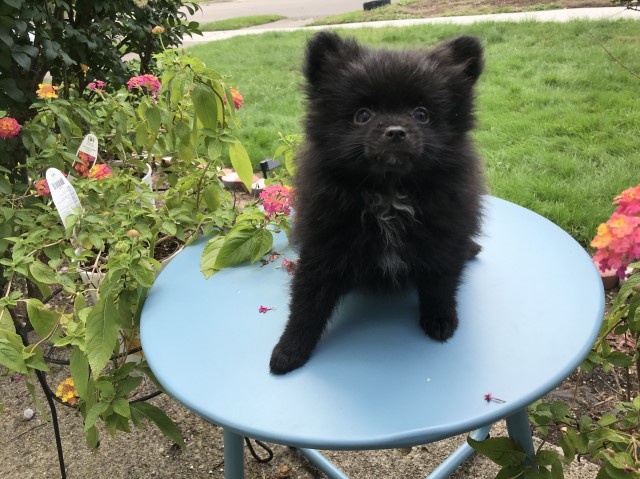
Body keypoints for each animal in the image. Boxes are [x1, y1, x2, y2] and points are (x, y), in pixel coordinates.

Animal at [268, 31, 484, 376]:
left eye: (421, 114)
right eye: (363, 115)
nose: (395, 131)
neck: (389, 193)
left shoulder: (442, 238)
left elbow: (440, 284)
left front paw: (440, 319)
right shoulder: (324, 244)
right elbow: (307, 301)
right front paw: (290, 349)